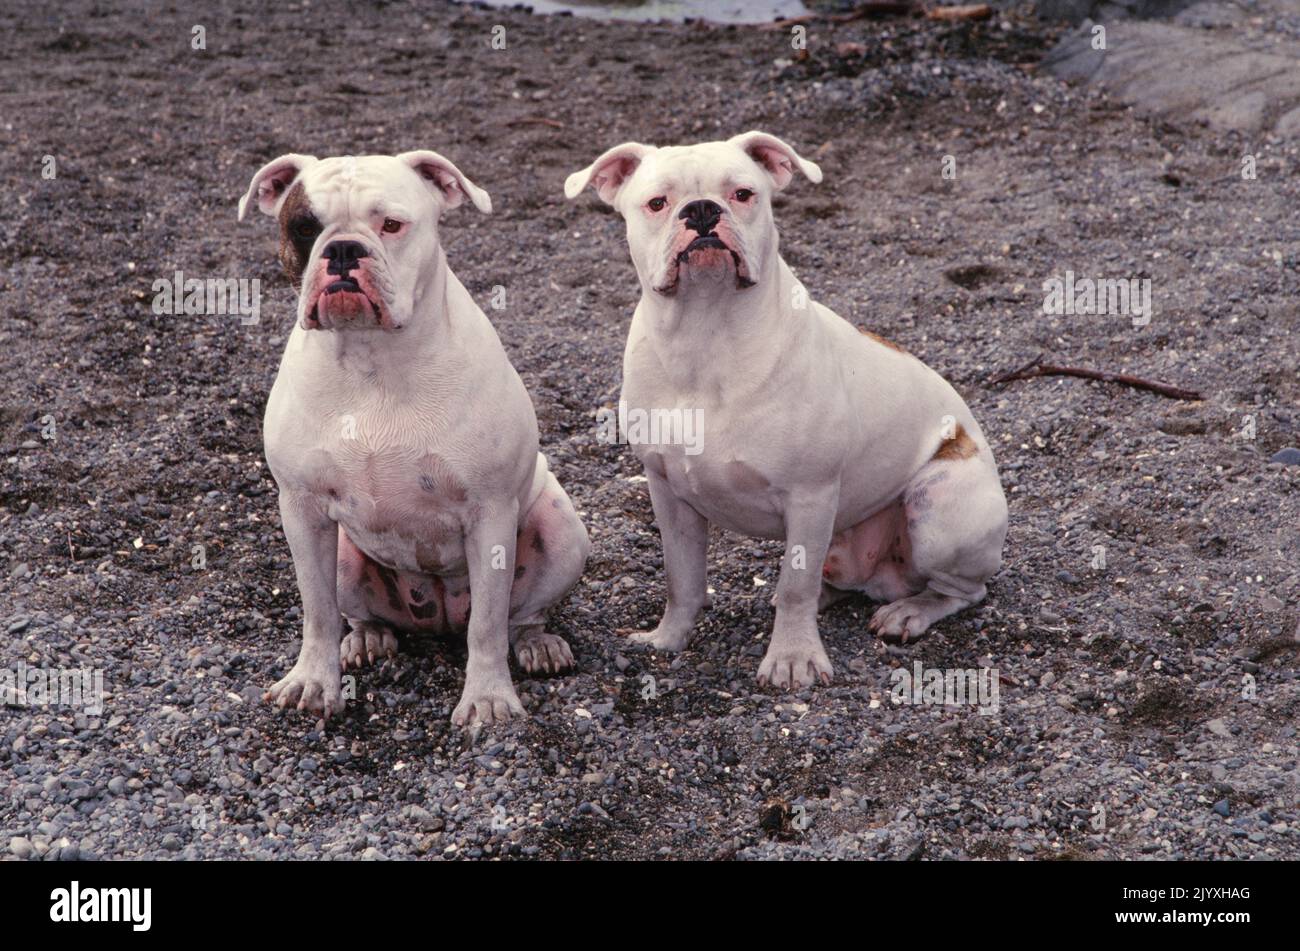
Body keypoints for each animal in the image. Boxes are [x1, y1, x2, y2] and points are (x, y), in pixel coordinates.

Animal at [239, 152, 590, 722]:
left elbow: (488, 623)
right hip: (344, 554)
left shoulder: (490, 512)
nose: (343, 248)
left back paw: (538, 644)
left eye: (391, 225)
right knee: (357, 613)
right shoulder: (303, 510)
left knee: (518, 617)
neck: (372, 357)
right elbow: (317, 609)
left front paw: (488, 698)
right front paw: (313, 681)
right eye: (305, 227)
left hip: (562, 533)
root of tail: (438, 614)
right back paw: (367, 638)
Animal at [566, 129, 1003, 685]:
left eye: (743, 194)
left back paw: (910, 611)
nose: (701, 211)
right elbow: (682, 578)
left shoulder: (809, 496)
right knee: (829, 580)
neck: (705, 332)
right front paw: (667, 639)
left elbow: (795, 585)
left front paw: (793, 658)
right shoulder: (669, 494)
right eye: (657, 203)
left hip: (938, 507)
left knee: (963, 590)